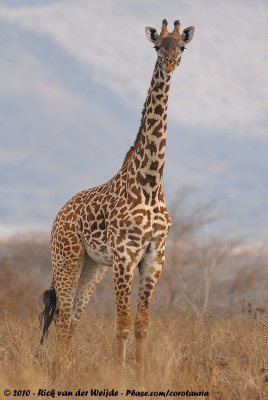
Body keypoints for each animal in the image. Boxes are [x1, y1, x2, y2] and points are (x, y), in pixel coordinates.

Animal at [39, 18, 195, 368]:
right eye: (157, 45)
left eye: (181, 45)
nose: (170, 63)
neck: (150, 185)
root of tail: (59, 213)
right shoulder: (125, 255)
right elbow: (122, 325)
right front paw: (120, 373)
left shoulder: (154, 257)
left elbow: (142, 325)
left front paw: (138, 373)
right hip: (66, 257)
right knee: (62, 317)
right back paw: (57, 371)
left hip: (93, 266)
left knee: (73, 319)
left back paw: (63, 370)